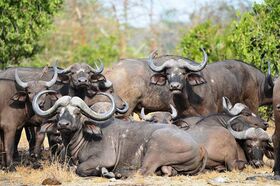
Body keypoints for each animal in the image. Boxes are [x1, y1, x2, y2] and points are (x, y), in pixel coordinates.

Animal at [32, 90, 208, 177]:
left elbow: (80, 168)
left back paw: (117, 174)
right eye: (59, 112)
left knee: (144, 171)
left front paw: (102, 171)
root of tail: (199, 147)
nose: (63, 124)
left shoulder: (103, 158)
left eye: (77, 112)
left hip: (154, 148)